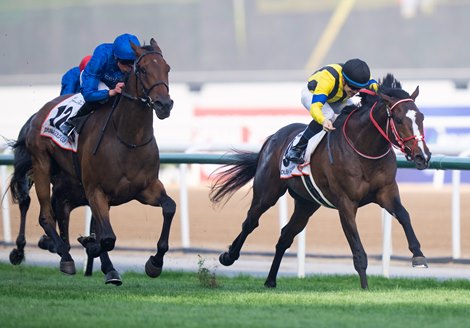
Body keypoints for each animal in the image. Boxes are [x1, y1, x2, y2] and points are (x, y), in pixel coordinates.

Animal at [16, 38, 176, 280]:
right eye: (143, 69)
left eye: (167, 68)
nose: (163, 104)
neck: (128, 139)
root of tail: (38, 114)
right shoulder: (96, 191)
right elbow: (107, 238)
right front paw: (89, 245)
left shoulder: (145, 188)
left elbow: (169, 207)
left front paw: (155, 263)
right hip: (41, 165)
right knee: (45, 215)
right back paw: (65, 255)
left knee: (60, 211)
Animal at [211, 73, 432, 288]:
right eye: (399, 119)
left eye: (421, 117)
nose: (423, 156)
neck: (364, 149)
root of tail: (274, 137)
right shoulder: (346, 203)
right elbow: (357, 249)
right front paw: (365, 289)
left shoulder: (386, 192)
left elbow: (404, 215)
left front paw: (418, 256)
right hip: (267, 193)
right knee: (250, 222)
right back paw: (228, 256)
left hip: (306, 203)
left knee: (285, 236)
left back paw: (271, 280)